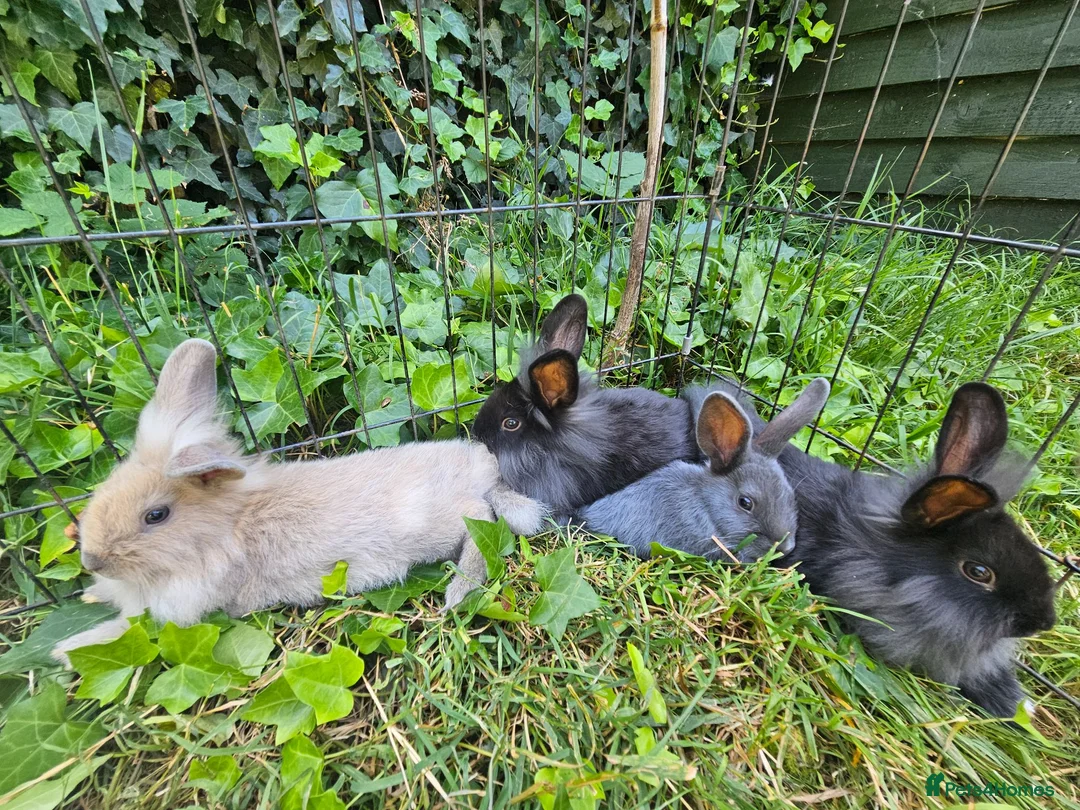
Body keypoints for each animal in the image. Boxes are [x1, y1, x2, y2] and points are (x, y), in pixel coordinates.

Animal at [52, 339, 546, 664]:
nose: (93, 560)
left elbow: (129, 631)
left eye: (156, 515)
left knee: (484, 521)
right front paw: (91, 596)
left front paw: (66, 649)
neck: (226, 528)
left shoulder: (186, 610)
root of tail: (483, 466)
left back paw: (458, 592)